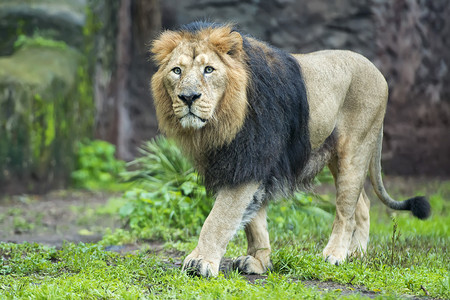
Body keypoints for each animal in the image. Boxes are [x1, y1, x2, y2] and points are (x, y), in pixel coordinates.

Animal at [149, 22, 430, 278]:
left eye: (209, 70)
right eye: (177, 71)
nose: (188, 97)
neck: (222, 121)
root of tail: (376, 70)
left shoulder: (248, 161)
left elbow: (218, 219)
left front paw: (200, 262)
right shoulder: (250, 166)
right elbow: (254, 222)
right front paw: (259, 263)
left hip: (356, 148)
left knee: (346, 211)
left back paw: (335, 255)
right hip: (336, 157)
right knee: (362, 204)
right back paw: (356, 254)